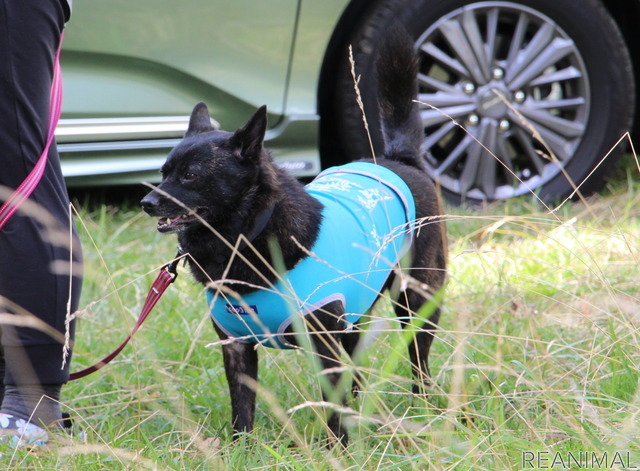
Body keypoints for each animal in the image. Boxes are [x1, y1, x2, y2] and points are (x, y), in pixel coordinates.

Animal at [142, 29, 448, 446]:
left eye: (191, 175)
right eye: (164, 172)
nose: (146, 202)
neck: (246, 237)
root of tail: (398, 160)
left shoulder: (324, 346)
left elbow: (333, 406)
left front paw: (338, 450)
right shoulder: (236, 348)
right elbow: (243, 408)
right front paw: (240, 449)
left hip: (416, 302)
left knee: (418, 362)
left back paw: (424, 407)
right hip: (355, 318)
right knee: (357, 372)